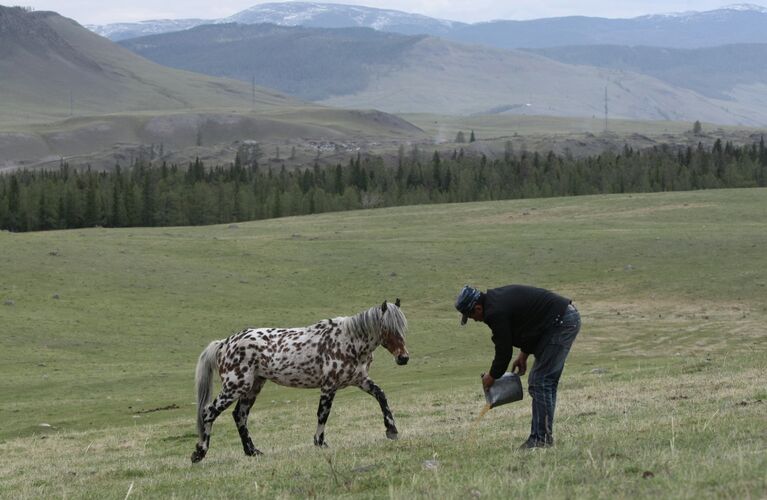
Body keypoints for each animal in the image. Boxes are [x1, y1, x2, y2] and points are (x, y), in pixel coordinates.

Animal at [192, 298, 408, 462]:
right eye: (387, 328)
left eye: (403, 326)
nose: (403, 358)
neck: (348, 340)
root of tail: (224, 343)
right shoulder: (329, 386)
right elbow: (323, 414)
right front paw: (320, 443)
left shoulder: (360, 380)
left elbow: (381, 396)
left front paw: (392, 430)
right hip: (235, 387)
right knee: (209, 412)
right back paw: (199, 453)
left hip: (252, 387)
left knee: (240, 416)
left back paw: (252, 452)